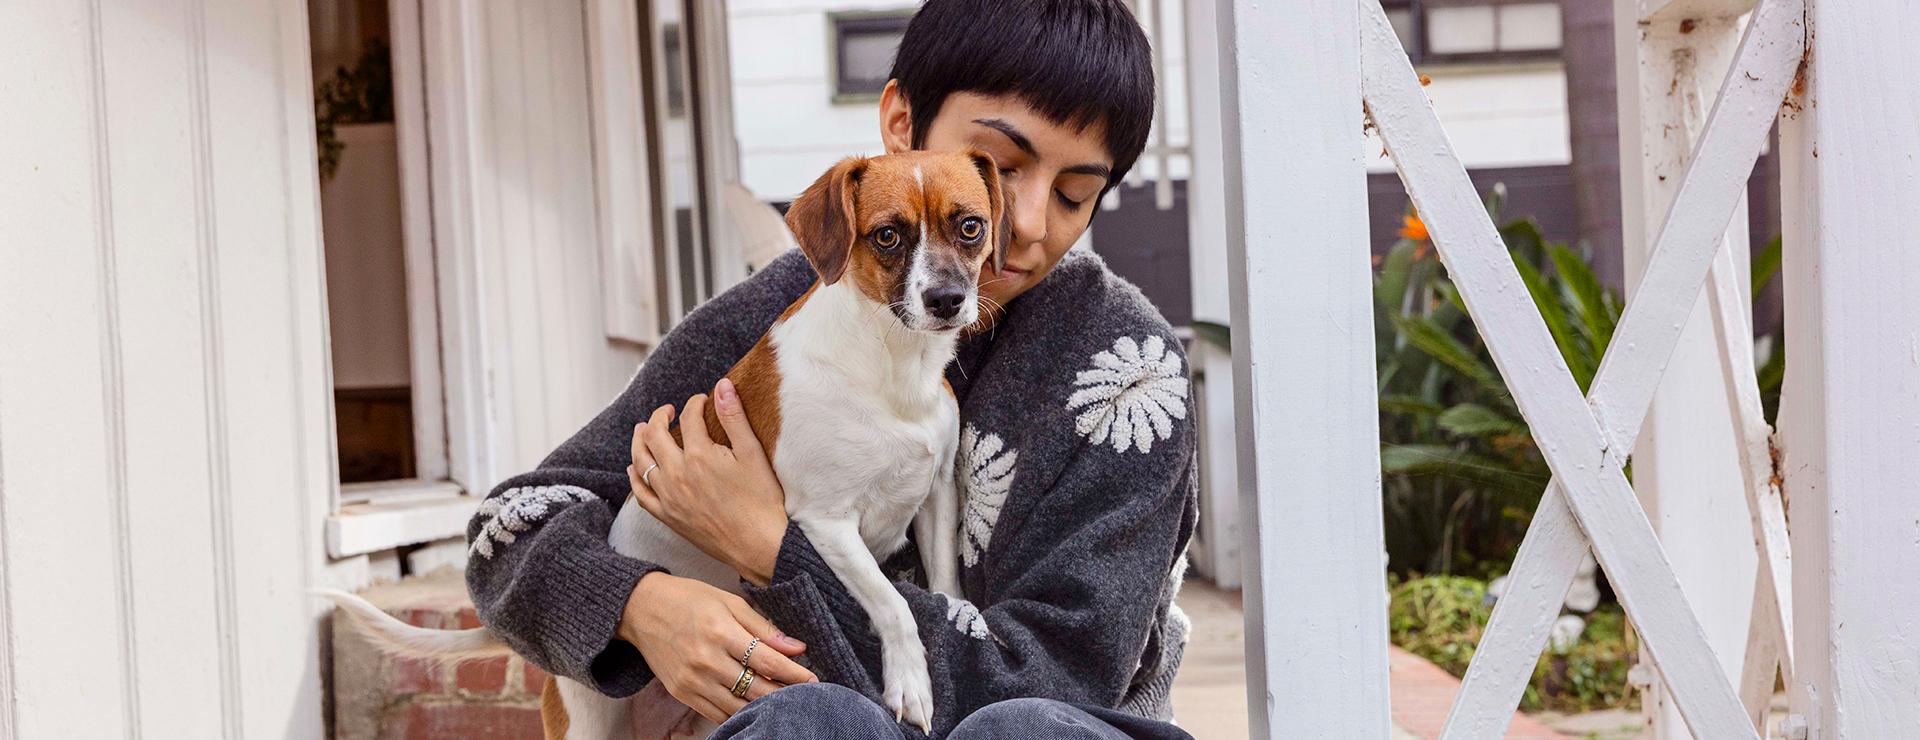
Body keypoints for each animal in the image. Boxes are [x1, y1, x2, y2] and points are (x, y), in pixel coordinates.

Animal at [322, 147, 1013, 734]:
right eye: (887, 235)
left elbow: (942, 589)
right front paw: (911, 681)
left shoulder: (935, 497)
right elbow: (892, 602)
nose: (947, 299)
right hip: (589, 723)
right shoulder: (825, 521)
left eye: (970, 226)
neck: (891, 365)